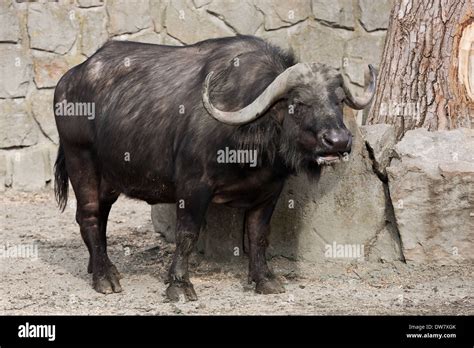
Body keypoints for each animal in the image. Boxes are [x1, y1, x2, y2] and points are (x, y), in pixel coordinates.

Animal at [54, 36, 374, 302]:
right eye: (299, 102)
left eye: (338, 100)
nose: (338, 141)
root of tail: (69, 80)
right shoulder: (193, 187)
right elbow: (187, 235)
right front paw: (179, 285)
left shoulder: (270, 191)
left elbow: (258, 235)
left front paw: (264, 279)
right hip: (80, 159)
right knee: (89, 215)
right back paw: (104, 278)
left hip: (109, 178)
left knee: (100, 216)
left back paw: (102, 266)